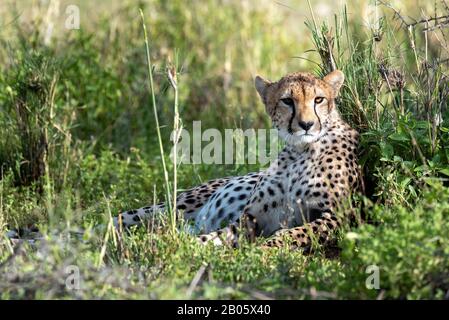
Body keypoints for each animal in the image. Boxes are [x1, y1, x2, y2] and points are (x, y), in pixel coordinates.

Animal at [114, 70, 360, 250]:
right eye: (287, 101)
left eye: (319, 99)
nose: (307, 124)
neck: (300, 150)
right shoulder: (250, 218)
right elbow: (217, 235)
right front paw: (183, 246)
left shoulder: (339, 216)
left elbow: (294, 233)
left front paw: (264, 250)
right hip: (176, 206)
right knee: (128, 216)